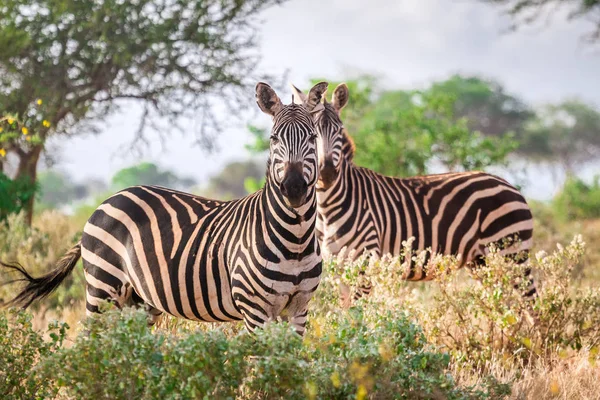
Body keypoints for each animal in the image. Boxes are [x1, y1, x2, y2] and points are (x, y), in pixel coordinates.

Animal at [0, 81, 328, 334]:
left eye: (313, 137)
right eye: (273, 139)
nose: (294, 188)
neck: (296, 239)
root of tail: (109, 199)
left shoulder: (299, 309)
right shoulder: (255, 310)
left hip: (139, 300)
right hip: (103, 287)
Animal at [290, 82, 536, 304]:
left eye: (340, 131)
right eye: (312, 135)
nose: (327, 173)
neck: (327, 208)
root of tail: (511, 186)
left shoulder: (365, 263)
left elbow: (356, 315)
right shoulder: (338, 270)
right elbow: (344, 315)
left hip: (511, 254)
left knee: (531, 304)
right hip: (482, 262)